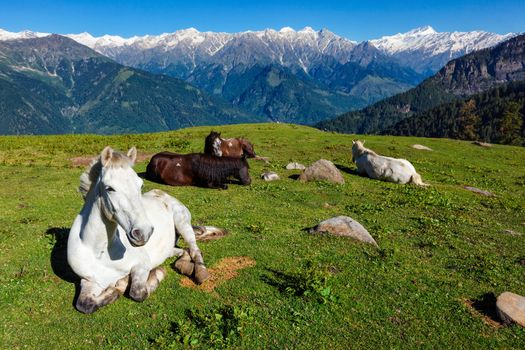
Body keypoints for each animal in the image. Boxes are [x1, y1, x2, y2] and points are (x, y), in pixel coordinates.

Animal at [68, 146, 221, 314]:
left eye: (140, 185)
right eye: (109, 188)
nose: (143, 232)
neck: (99, 251)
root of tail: (163, 193)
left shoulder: (142, 264)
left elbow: (138, 292)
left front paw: (152, 275)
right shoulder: (89, 280)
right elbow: (85, 304)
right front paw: (117, 287)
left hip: (183, 224)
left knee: (194, 250)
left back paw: (201, 273)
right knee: (183, 251)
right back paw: (184, 265)